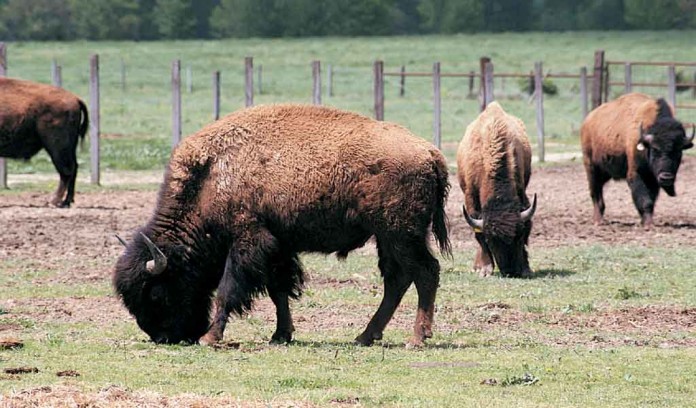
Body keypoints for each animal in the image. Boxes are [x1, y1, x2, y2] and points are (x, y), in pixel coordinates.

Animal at [0, 77, 89, 207]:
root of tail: (75, 98)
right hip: (69, 148)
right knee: (73, 168)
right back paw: (66, 202)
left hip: (57, 148)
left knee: (66, 171)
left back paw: (54, 201)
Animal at [114, 104, 451, 348]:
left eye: (156, 294)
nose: (164, 338)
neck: (210, 176)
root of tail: (430, 153)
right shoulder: (278, 246)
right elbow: (279, 290)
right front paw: (280, 335)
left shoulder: (248, 240)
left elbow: (228, 288)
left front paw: (211, 337)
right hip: (387, 236)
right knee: (397, 279)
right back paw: (365, 336)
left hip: (401, 234)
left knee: (425, 272)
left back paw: (417, 339)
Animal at [456, 102, 537, 278]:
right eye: (491, 240)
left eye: (519, 235)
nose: (511, 271)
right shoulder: (471, 198)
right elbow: (478, 234)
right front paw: (485, 269)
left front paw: (526, 268)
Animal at [581, 92, 694, 228]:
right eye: (655, 149)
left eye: (678, 151)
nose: (666, 177)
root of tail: (588, 121)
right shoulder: (636, 173)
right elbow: (644, 199)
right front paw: (648, 224)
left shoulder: (652, 179)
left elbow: (651, 199)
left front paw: (645, 221)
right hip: (591, 167)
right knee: (595, 192)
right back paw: (598, 221)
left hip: (606, 172)